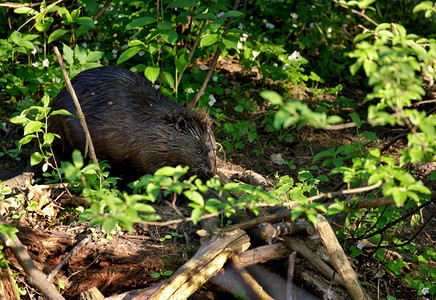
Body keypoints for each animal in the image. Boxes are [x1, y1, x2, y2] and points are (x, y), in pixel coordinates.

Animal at [47, 66, 216, 180]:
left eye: (215, 148)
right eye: (199, 149)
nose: (212, 172)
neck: (158, 126)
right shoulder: (145, 150)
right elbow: (150, 170)